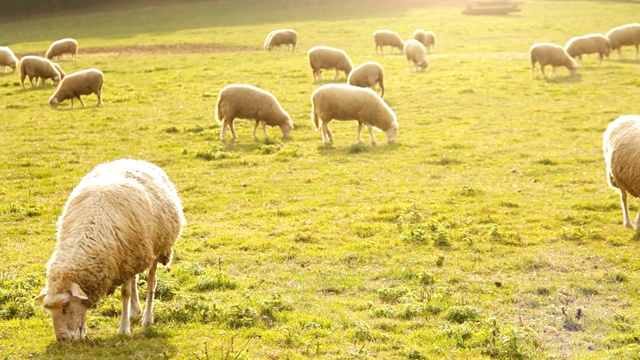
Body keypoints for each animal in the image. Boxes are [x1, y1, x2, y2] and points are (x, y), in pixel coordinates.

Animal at [35, 158, 185, 340]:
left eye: (65, 305)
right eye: (49, 309)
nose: (62, 339)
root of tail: (133, 159)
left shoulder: (128, 259)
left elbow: (125, 293)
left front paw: (124, 329)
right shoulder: (125, 260)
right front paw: (83, 330)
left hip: (155, 249)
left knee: (151, 281)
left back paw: (147, 318)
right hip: (136, 255)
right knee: (135, 280)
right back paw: (135, 311)